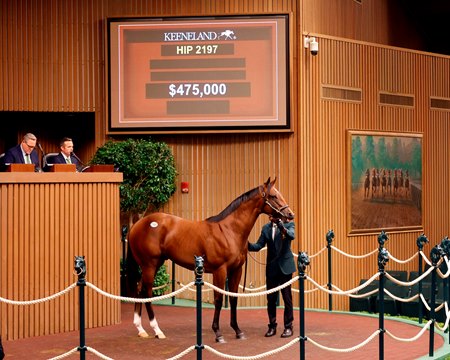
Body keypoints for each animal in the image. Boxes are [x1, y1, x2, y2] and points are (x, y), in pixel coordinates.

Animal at [126, 177, 296, 344]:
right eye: (273, 196)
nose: (290, 214)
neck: (229, 230)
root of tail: (136, 225)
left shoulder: (236, 270)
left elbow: (233, 298)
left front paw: (238, 331)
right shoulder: (219, 271)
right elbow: (219, 299)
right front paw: (218, 333)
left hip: (152, 265)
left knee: (140, 289)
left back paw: (141, 329)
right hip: (150, 265)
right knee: (147, 292)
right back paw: (157, 330)